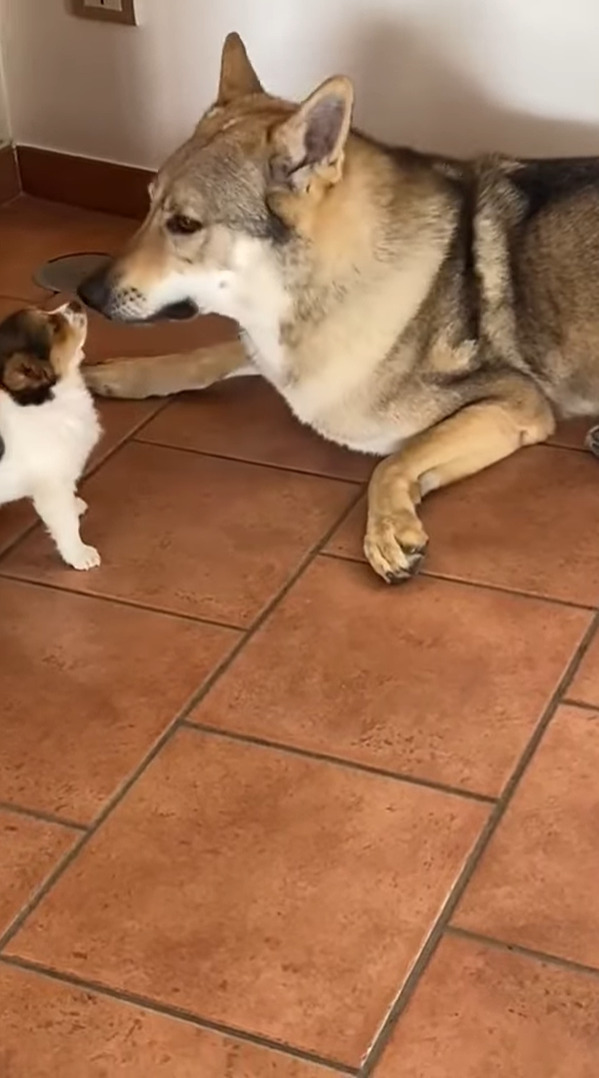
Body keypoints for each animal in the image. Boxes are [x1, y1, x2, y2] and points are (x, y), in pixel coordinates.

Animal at [0, 301, 101, 569]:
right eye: (54, 327)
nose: (75, 302)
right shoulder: (51, 487)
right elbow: (66, 524)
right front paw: (80, 554)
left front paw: (75, 504)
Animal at [79, 33, 599, 586]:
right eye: (148, 203)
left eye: (183, 224)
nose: (86, 293)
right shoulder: (264, 348)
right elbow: (206, 355)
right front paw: (124, 374)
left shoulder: (516, 403)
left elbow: (393, 462)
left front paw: (387, 527)